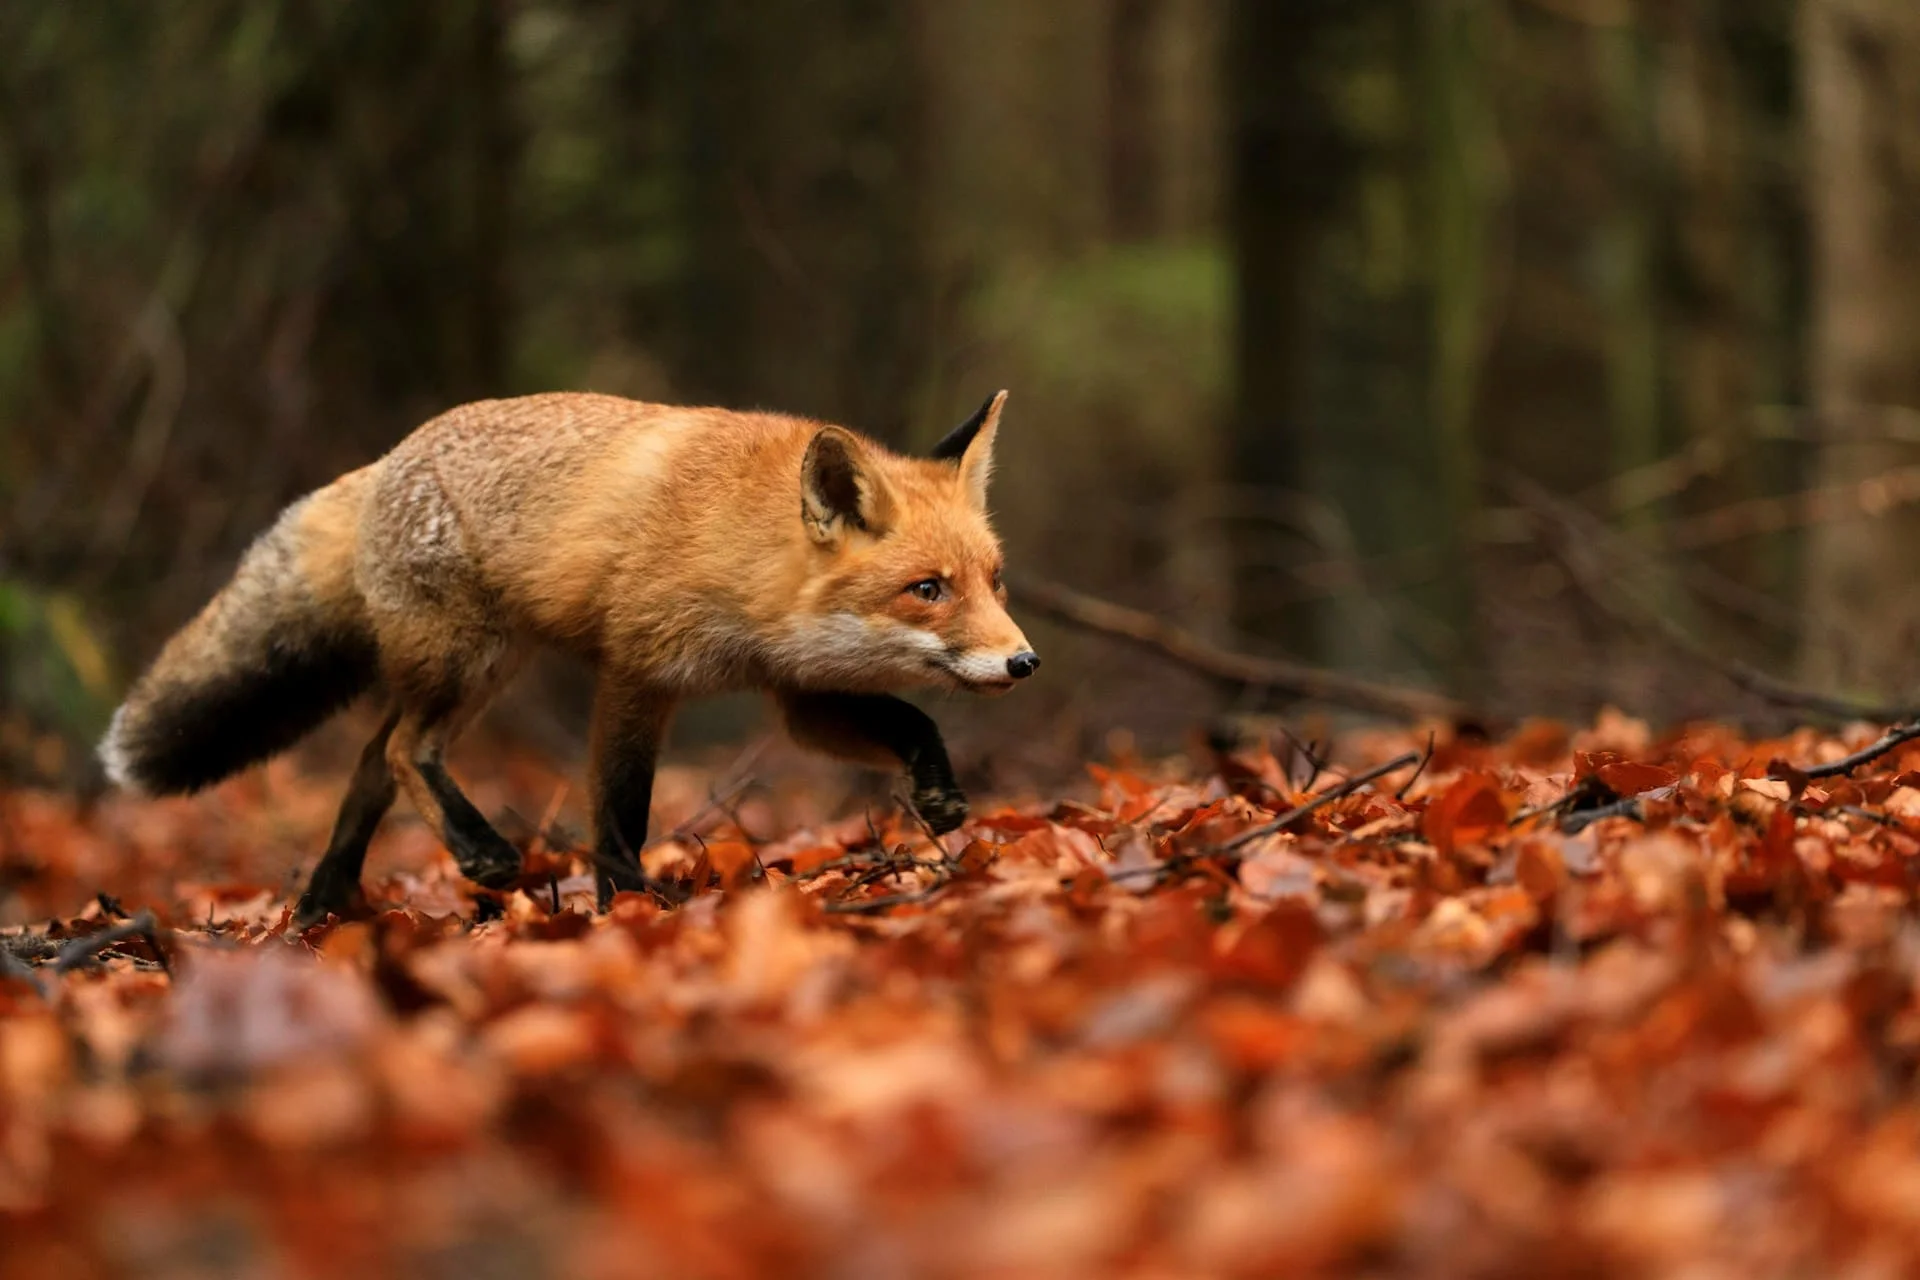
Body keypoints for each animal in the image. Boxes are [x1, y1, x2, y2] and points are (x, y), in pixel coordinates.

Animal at [98, 391, 1039, 925]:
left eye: (994, 581)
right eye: (928, 589)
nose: (1024, 662)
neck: (743, 550)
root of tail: (384, 460)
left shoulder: (796, 691)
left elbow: (910, 719)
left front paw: (938, 792)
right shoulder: (636, 671)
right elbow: (618, 813)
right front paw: (627, 909)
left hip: (473, 667)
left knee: (369, 761)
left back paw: (322, 908)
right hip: (469, 660)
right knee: (401, 750)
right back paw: (478, 854)